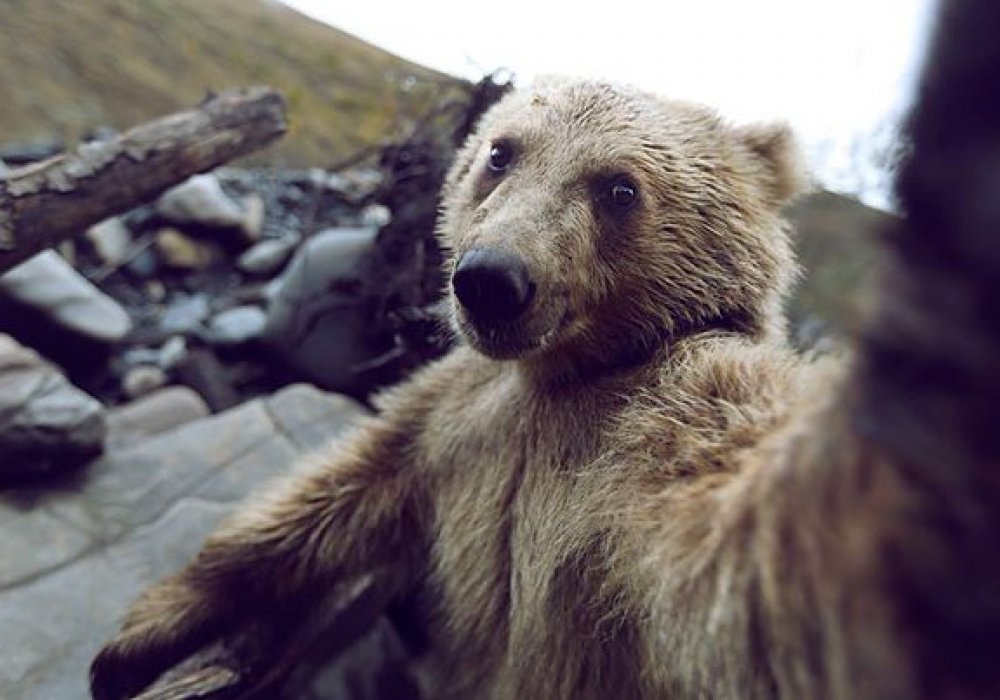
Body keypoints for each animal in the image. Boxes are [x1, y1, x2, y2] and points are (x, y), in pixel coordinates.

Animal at [92, 12, 1000, 696]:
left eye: (619, 187)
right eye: (502, 151)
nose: (491, 280)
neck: (564, 374)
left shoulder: (649, 443)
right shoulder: (455, 412)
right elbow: (339, 486)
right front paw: (143, 630)